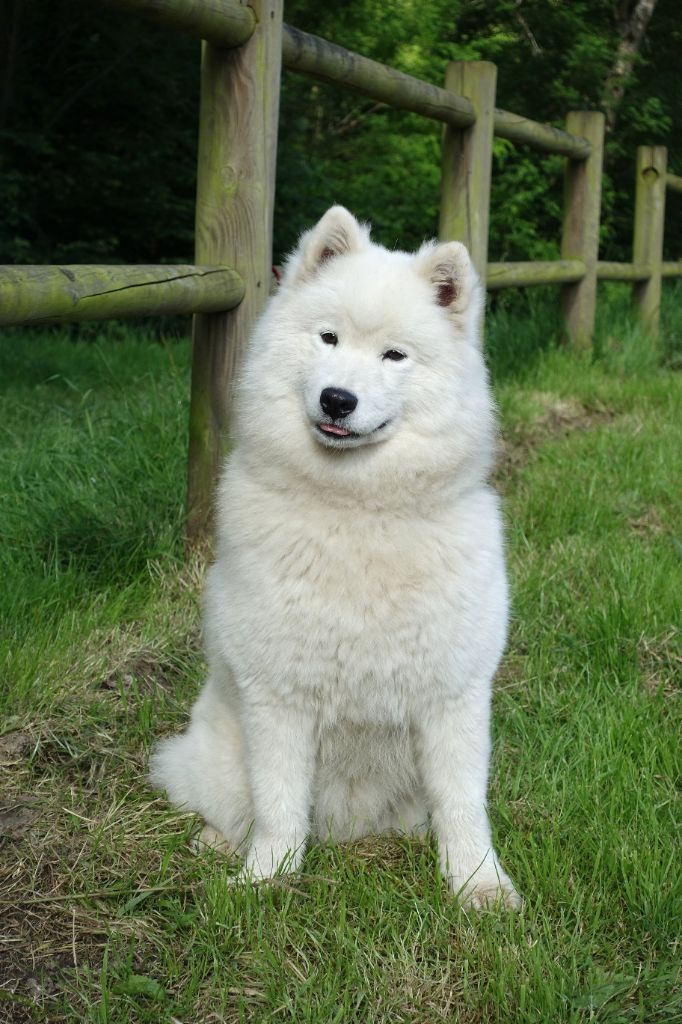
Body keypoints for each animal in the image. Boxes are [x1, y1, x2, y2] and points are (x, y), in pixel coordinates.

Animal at [150, 203, 520, 909]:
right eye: (328, 339)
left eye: (394, 355)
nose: (337, 399)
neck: (358, 512)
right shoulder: (279, 695)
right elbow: (279, 804)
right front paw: (267, 877)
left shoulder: (452, 695)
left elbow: (463, 805)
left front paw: (477, 883)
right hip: (219, 752)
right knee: (227, 805)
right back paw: (217, 844)